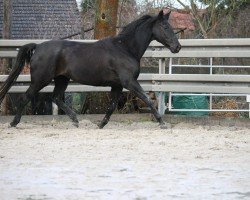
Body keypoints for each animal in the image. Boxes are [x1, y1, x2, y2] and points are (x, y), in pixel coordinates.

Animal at [0, 10, 180, 128]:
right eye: (165, 26)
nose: (177, 47)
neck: (125, 48)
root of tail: (38, 47)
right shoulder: (129, 82)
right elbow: (147, 99)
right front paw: (162, 123)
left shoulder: (117, 85)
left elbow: (112, 105)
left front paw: (101, 124)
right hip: (40, 80)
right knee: (26, 97)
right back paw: (14, 123)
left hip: (62, 79)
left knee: (56, 97)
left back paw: (76, 120)